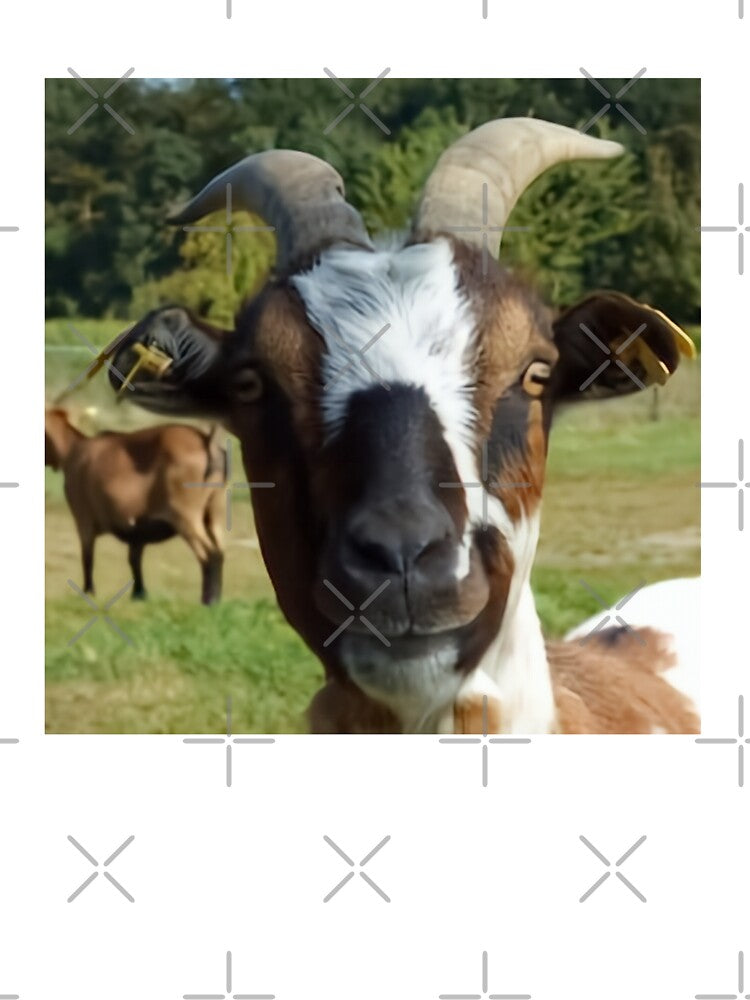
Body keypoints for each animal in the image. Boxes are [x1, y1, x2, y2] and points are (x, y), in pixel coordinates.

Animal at [45, 408, 226, 604]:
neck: (74, 449)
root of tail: (206, 440)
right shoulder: (137, 529)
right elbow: (134, 559)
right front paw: (139, 594)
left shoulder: (83, 518)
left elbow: (88, 556)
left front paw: (88, 592)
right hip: (215, 512)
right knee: (220, 549)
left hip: (185, 515)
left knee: (210, 554)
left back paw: (209, 601)